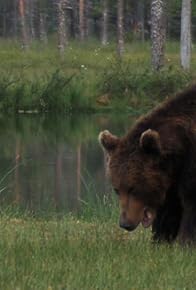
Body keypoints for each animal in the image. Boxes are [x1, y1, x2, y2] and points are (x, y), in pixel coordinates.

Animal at [99, 85, 196, 244]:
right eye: (117, 189)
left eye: (133, 188)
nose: (125, 223)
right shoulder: (171, 178)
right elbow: (169, 209)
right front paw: (160, 239)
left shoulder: (189, 166)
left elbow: (189, 203)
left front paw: (185, 241)